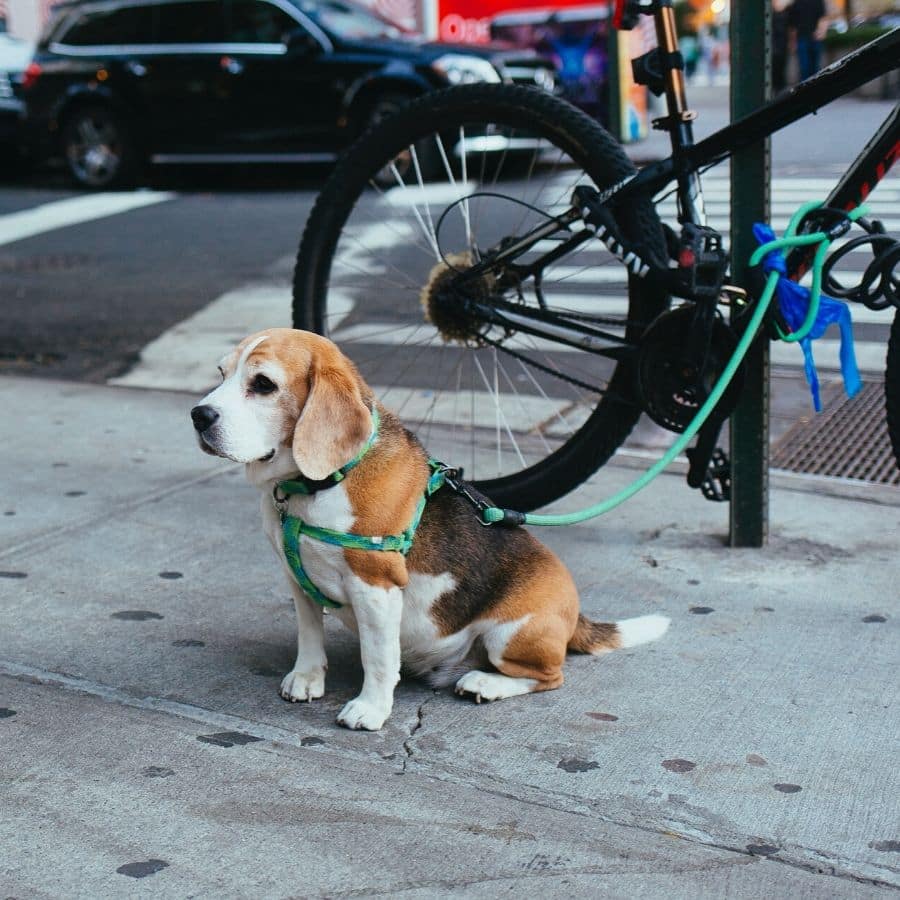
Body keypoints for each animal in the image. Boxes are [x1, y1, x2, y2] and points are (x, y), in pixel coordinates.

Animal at [192, 330, 668, 732]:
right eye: (221, 373)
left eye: (264, 384)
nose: (198, 415)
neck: (315, 485)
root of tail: (575, 613)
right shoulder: (297, 577)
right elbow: (309, 634)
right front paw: (308, 677)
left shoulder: (376, 586)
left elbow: (379, 656)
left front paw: (370, 708)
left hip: (512, 634)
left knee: (550, 676)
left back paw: (485, 683)